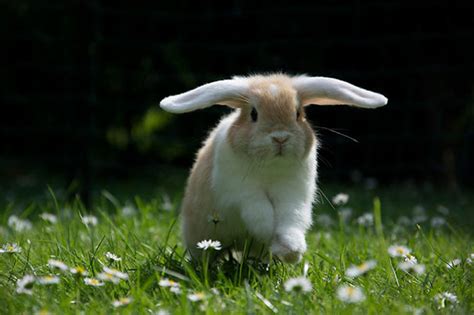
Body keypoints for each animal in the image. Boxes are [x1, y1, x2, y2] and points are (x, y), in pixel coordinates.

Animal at [161, 74, 386, 264]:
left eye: (298, 113)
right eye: (253, 114)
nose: (280, 137)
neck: (270, 167)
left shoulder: (293, 194)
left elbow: (290, 219)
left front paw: (291, 250)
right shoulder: (240, 193)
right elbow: (260, 212)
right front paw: (270, 234)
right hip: (201, 238)